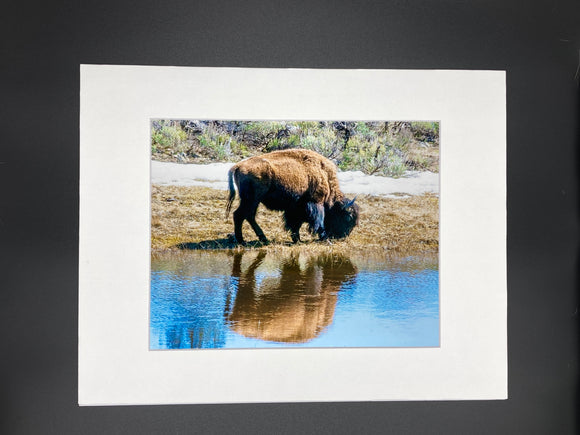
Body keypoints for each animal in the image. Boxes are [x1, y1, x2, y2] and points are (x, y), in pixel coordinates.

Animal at [225, 149, 358, 245]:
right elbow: (318, 221)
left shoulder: (296, 208)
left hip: (252, 201)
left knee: (247, 216)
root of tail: (237, 166)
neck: (324, 175)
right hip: (252, 200)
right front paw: (324, 239)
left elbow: (295, 224)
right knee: (240, 215)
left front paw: (297, 239)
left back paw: (261, 238)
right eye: (348, 218)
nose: (342, 236)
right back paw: (244, 240)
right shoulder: (316, 203)